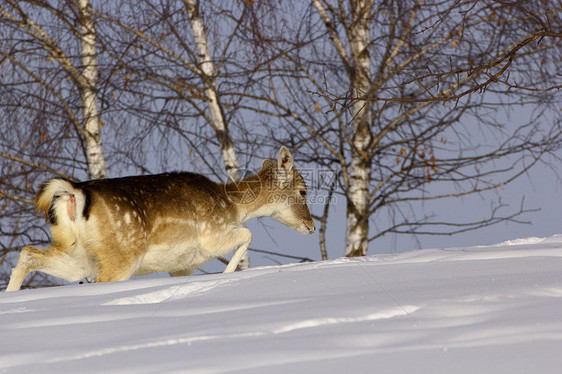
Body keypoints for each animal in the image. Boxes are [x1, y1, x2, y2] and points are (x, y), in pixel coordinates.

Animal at [4, 146, 312, 292]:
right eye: (303, 191)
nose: (311, 225)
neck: (233, 206)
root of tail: (73, 193)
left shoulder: (182, 266)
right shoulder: (211, 235)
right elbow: (248, 234)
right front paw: (227, 275)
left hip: (79, 256)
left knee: (28, 252)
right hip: (121, 255)